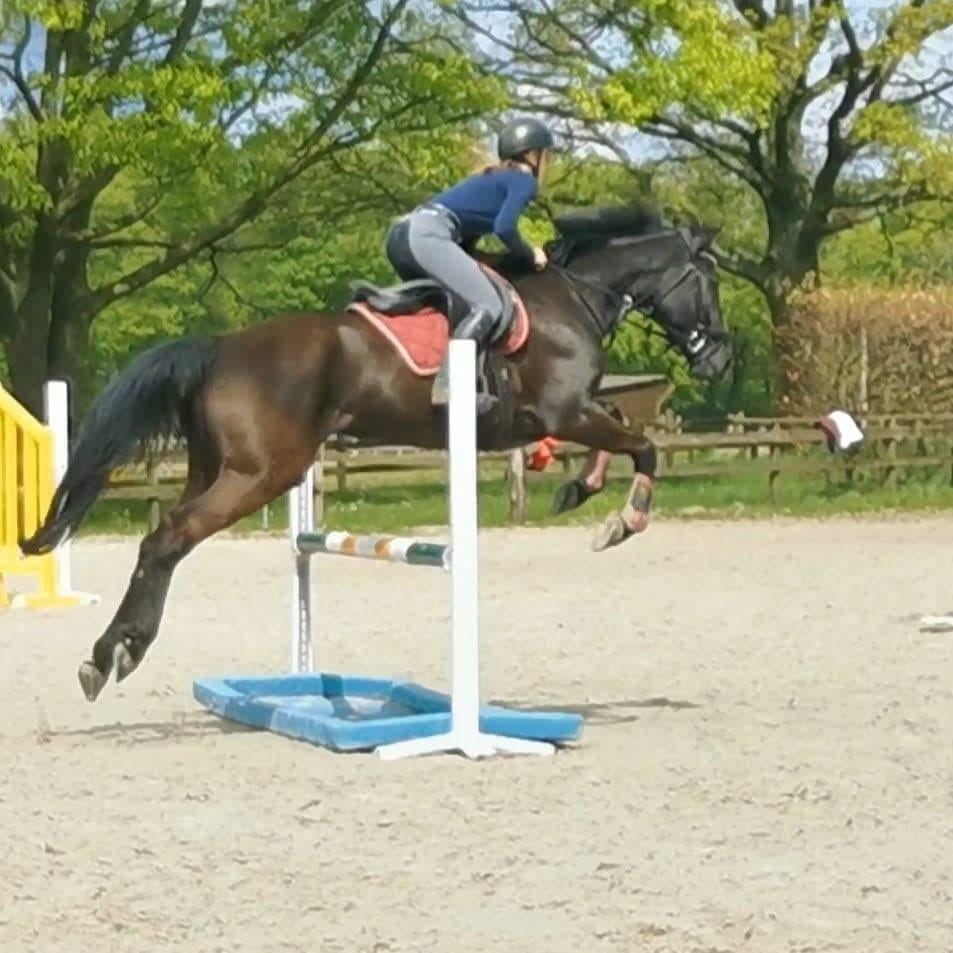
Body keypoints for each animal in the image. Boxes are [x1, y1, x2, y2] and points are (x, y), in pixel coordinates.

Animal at [19, 203, 732, 702]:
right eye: (710, 281)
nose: (720, 359)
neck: (571, 295)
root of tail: (220, 347)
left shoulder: (568, 414)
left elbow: (623, 429)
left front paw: (579, 488)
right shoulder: (564, 411)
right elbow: (645, 447)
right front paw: (620, 522)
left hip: (217, 468)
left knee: (163, 540)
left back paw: (111, 651)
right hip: (263, 473)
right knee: (167, 538)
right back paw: (116, 653)